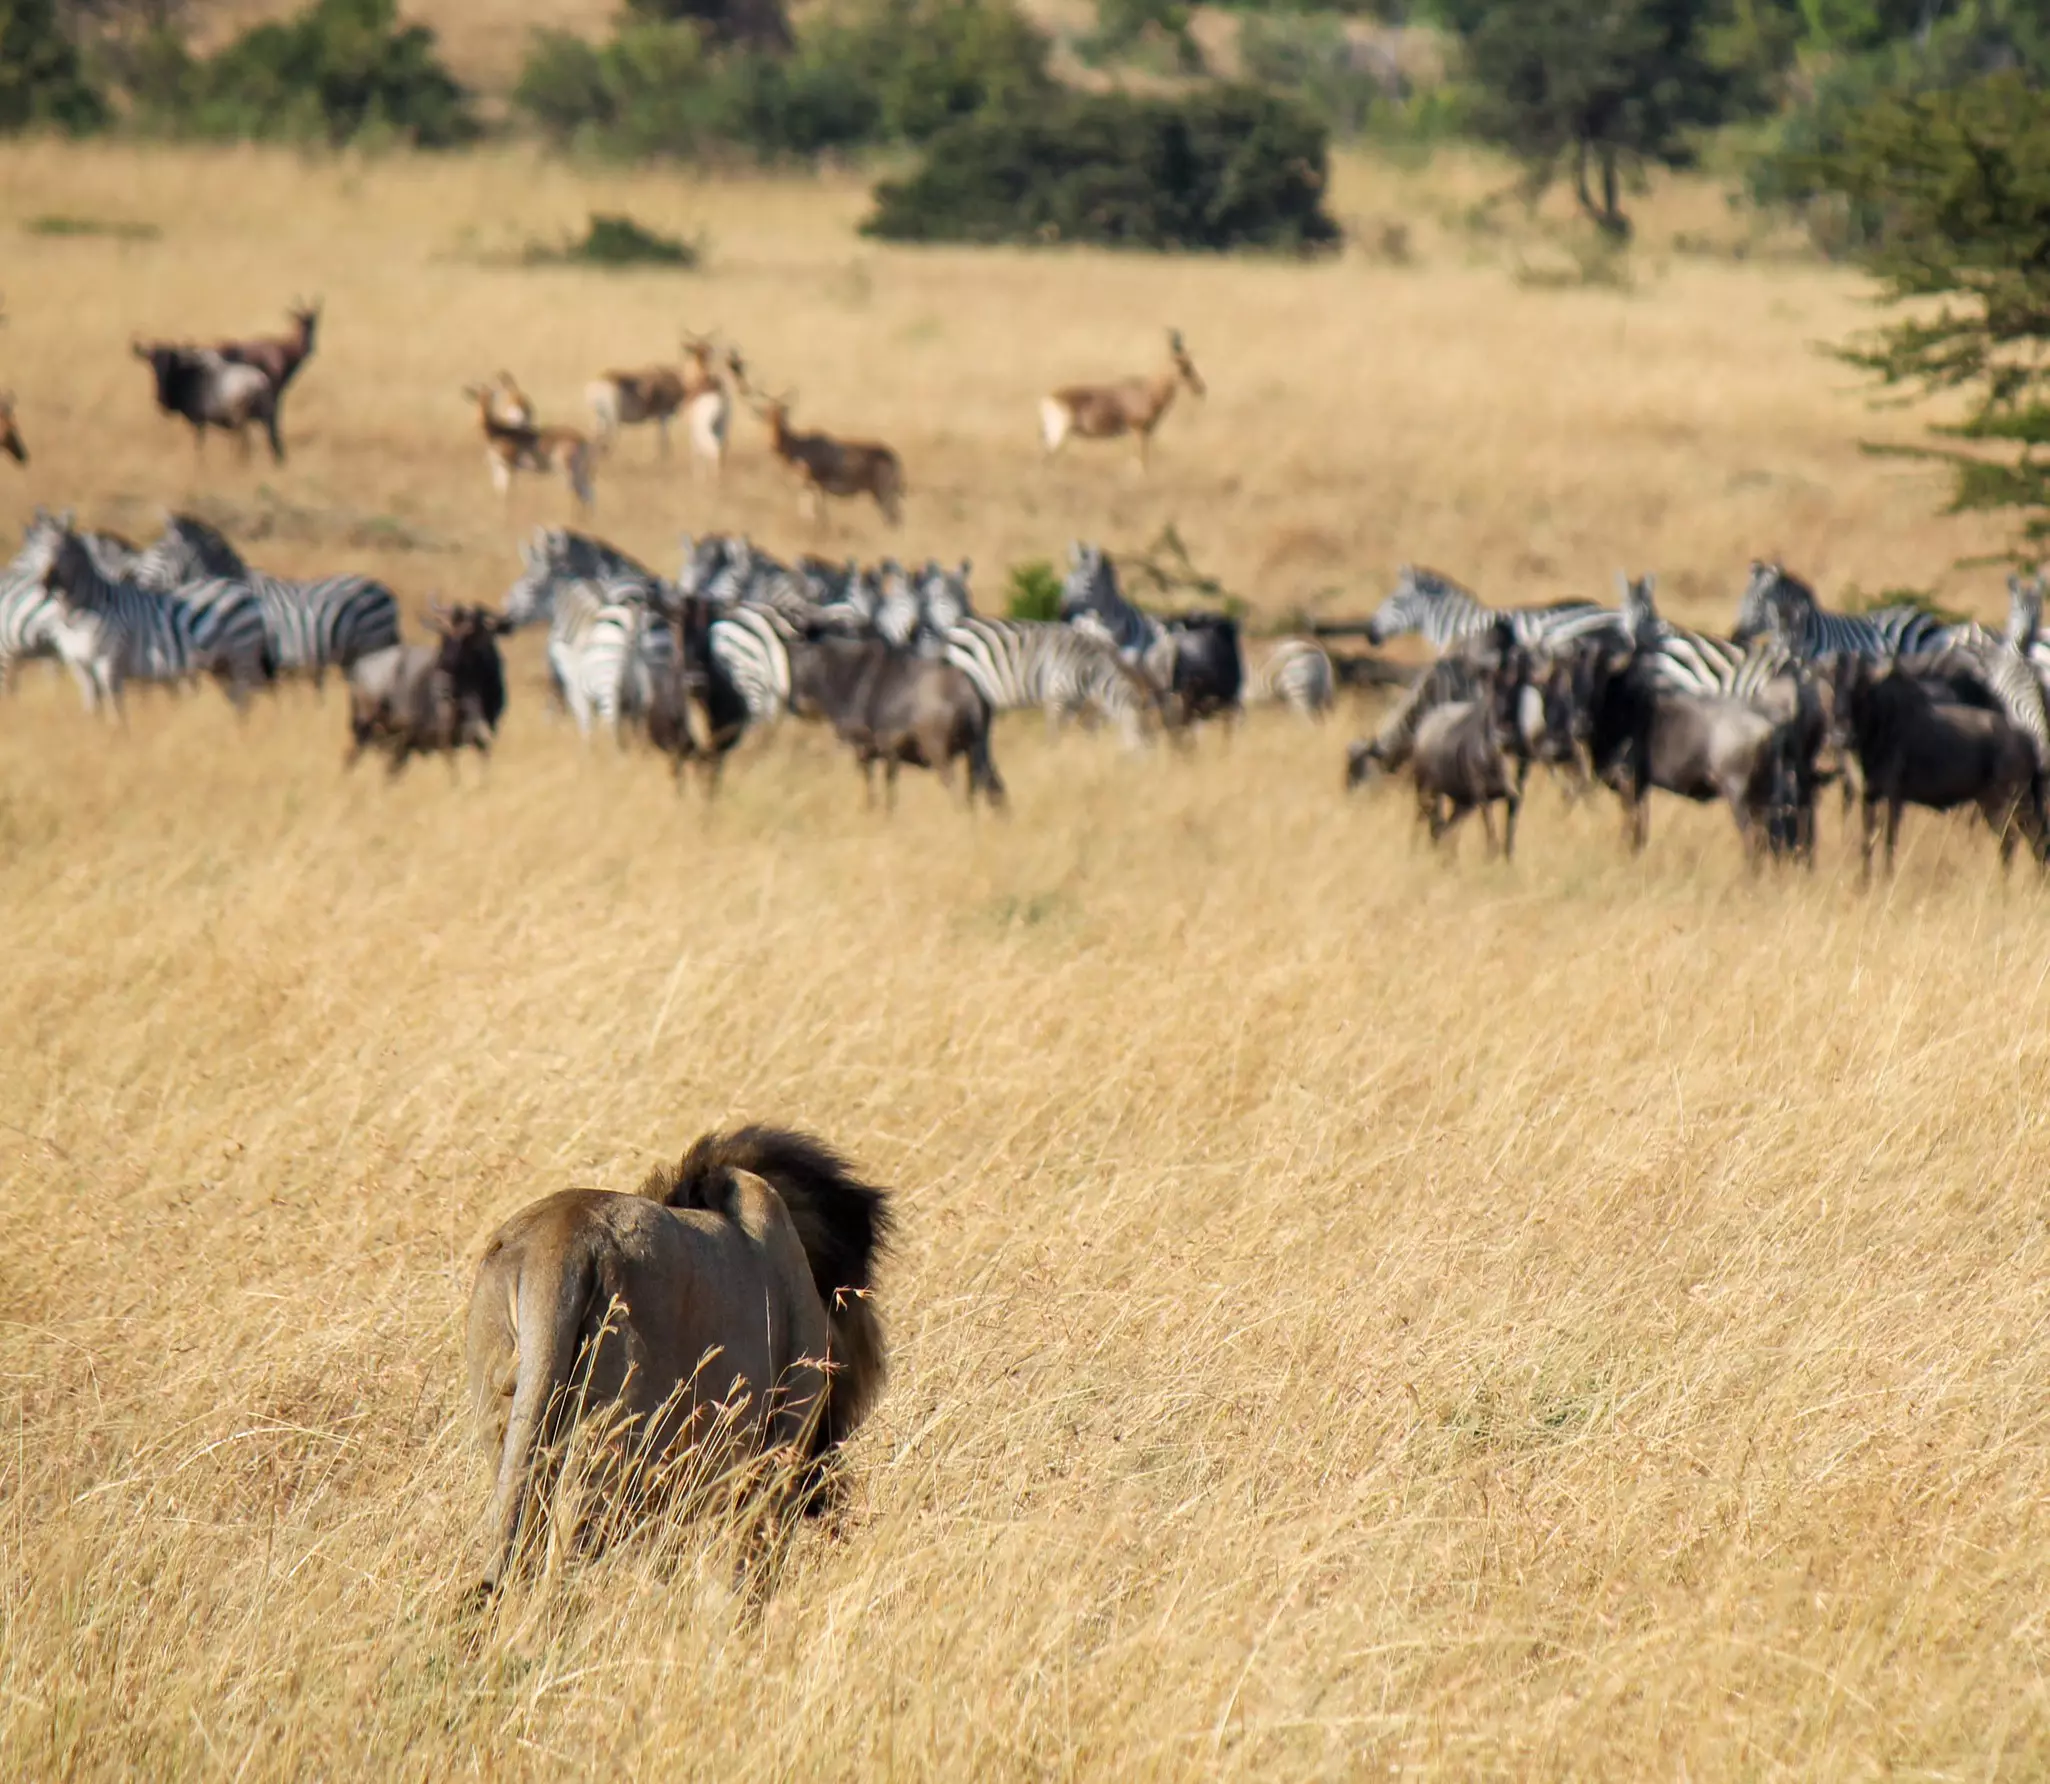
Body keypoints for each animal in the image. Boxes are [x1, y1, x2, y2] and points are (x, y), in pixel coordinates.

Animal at [943, 616, 1158, 748]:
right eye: (1145, 737)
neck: (1087, 669)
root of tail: (952, 630)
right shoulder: (1055, 694)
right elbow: (1054, 732)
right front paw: (1053, 754)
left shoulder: (1073, 702)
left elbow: (1071, 729)